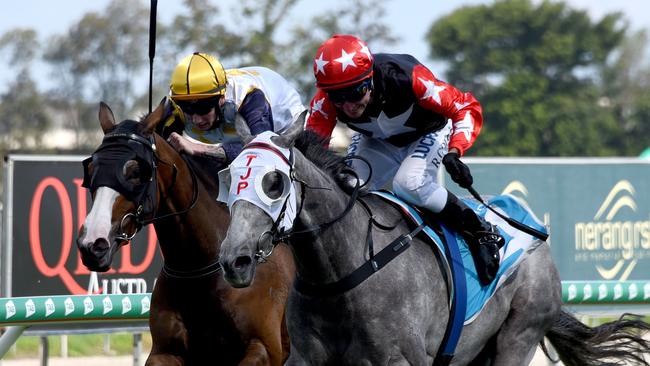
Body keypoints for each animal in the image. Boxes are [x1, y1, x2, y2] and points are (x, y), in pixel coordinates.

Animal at [218, 113, 648, 364]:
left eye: (273, 182)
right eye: (229, 176)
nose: (234, 260)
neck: (342, 272)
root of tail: (534, 236)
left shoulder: (402, 361)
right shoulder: (306, 359)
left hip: (519, 334)